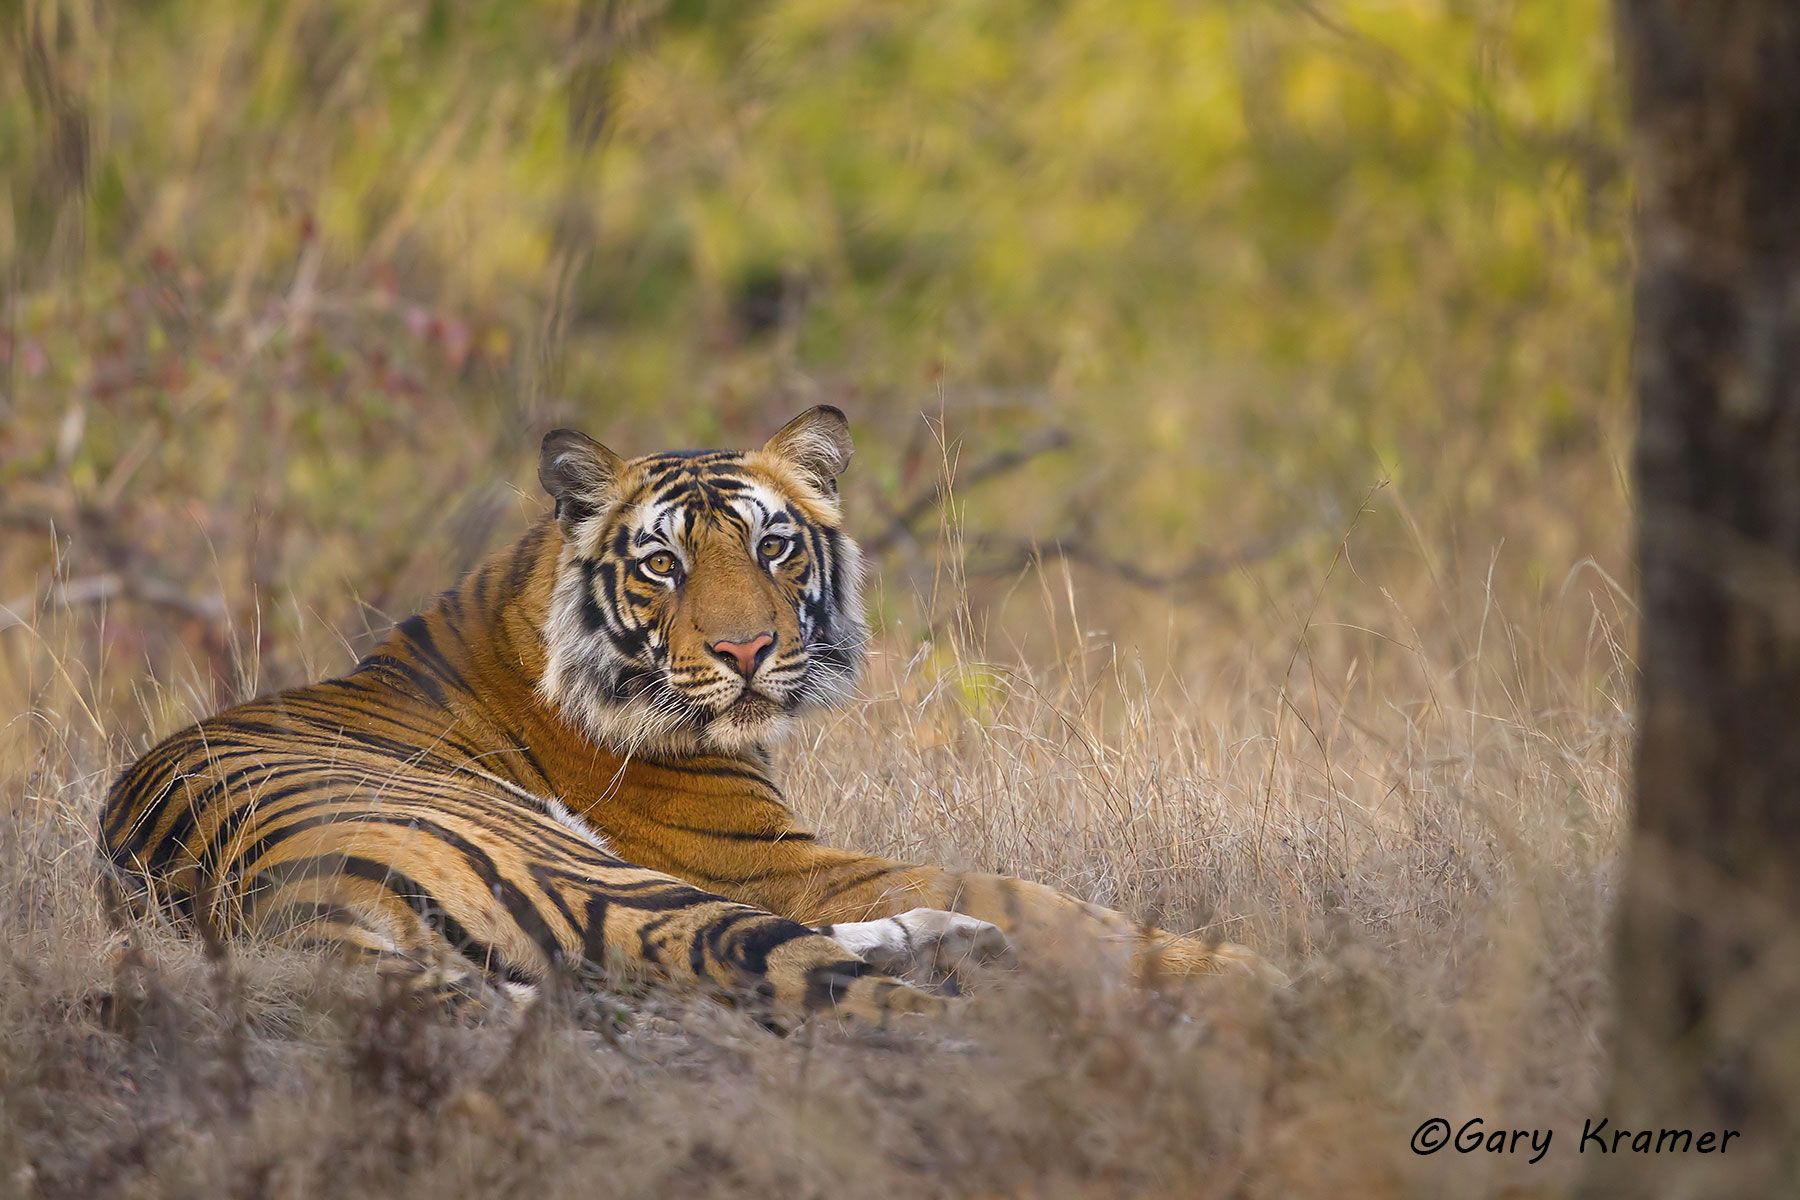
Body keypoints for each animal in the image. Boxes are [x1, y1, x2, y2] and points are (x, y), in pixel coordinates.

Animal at [100, 406, 1276, 1026]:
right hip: (605, 876)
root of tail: (289, 911)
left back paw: (958, 948)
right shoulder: (776, 861)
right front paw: (1231, 969)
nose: (746, 652)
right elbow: (1031, 892)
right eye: (662, 563)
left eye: (773, 546)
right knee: (830, 976)